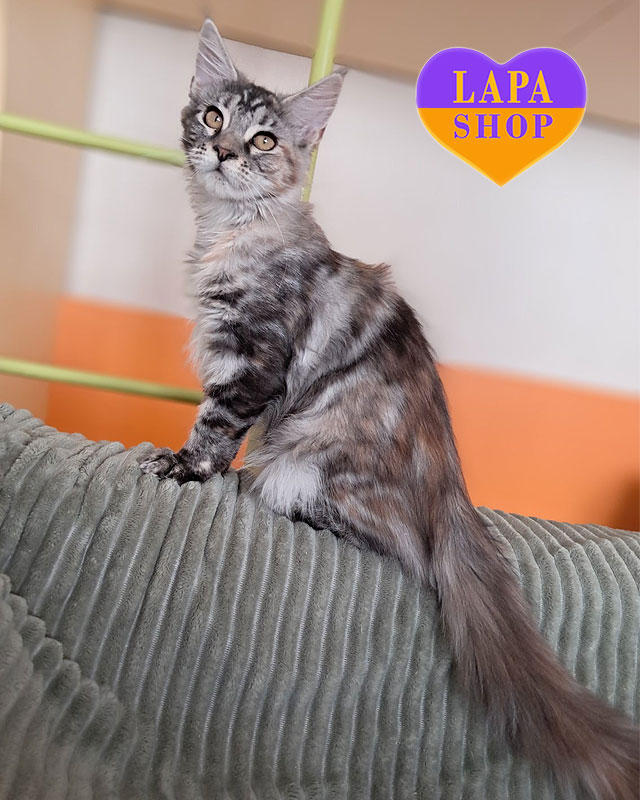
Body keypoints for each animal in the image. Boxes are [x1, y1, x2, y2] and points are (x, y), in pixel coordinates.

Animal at [139, 19, 639, 799]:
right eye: (214, 118)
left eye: (264, 140)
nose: (223, 153)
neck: (231, 228)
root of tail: (453, 493)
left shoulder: (254, 357)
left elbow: (215, 425)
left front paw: (184, 468)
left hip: (304, 465)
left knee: (392, 544)